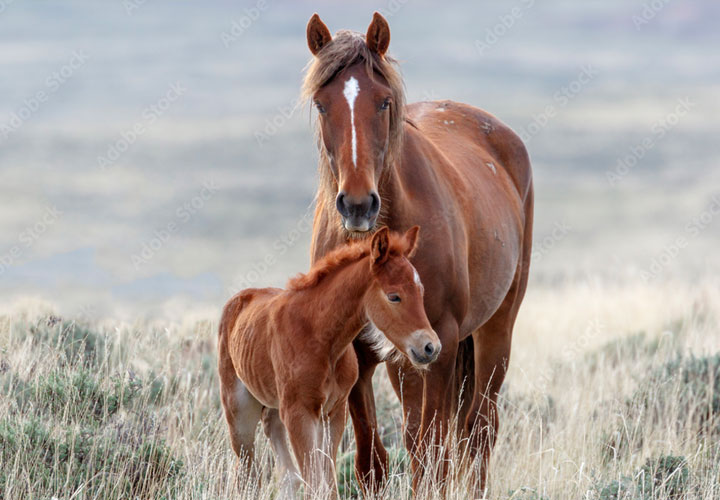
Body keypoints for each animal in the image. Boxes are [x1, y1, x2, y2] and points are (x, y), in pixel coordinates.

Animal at [217, 226, 441, 498]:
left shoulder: (333, 413)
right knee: (247, 470)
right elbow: (315, 483)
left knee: (283, 465)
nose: (430, 347)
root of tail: (239, 298)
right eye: (394, 297)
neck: (321, 338)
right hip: (239, 411)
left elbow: (328, 484)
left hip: (274, 407)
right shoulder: (299, 413)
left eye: (421, 291)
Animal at [303, 12, 534, 494]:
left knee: (477, 431)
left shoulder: (440, 341)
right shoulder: (359, 350)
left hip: (493, 333)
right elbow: (373, 461)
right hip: (407, 359)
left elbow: (433, 452)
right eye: (321, 104)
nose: (357, 205)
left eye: (384, 102)